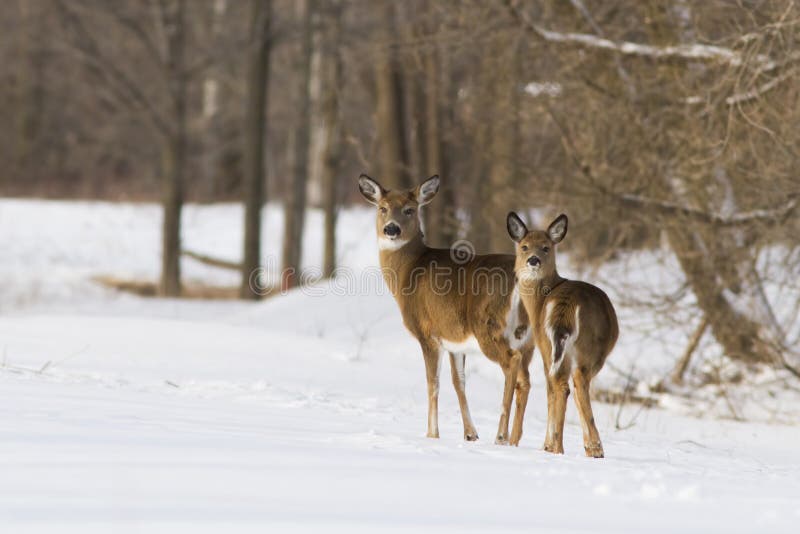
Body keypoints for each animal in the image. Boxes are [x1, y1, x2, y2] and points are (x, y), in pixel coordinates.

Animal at [360, 174, 536, 446]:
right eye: (382, 208)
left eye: (410, 210)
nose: (391, 229)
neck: (408, 273)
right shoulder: (454, 339)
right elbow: (459, 382)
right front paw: (470, 434)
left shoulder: (427, 332)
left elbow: (433, 382)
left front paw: (432, 433)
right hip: (529, 338)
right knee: (526, 379)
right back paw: (516, 439)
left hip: (490, 328)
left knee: (511, 363)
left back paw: (501, 435)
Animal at [506, 211, 620, 458]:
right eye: (524, 246)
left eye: (546, 247)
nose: (533, 260)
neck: (538, 303)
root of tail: (566, 305)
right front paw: (550, 445)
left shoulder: (543, 345)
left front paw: (547, 445)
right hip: (586, 349)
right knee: (574, 385)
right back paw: (587, 448)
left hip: (562, 346)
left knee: (565, 385)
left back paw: (568, 447)